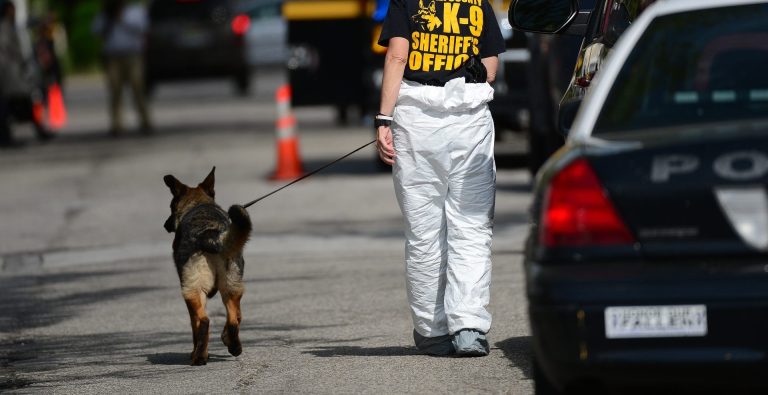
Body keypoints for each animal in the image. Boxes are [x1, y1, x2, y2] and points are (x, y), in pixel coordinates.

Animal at [162, 166, 252, 366]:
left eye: (171, 207)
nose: (165, 225)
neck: (199, 203)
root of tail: (210, 234)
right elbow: (237, 316)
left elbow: (195, 327)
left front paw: (196, 352)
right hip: (232, 287)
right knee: (234, 319)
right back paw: (234, 346)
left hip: (191, 291)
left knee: (203, 321)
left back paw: (199, 357)